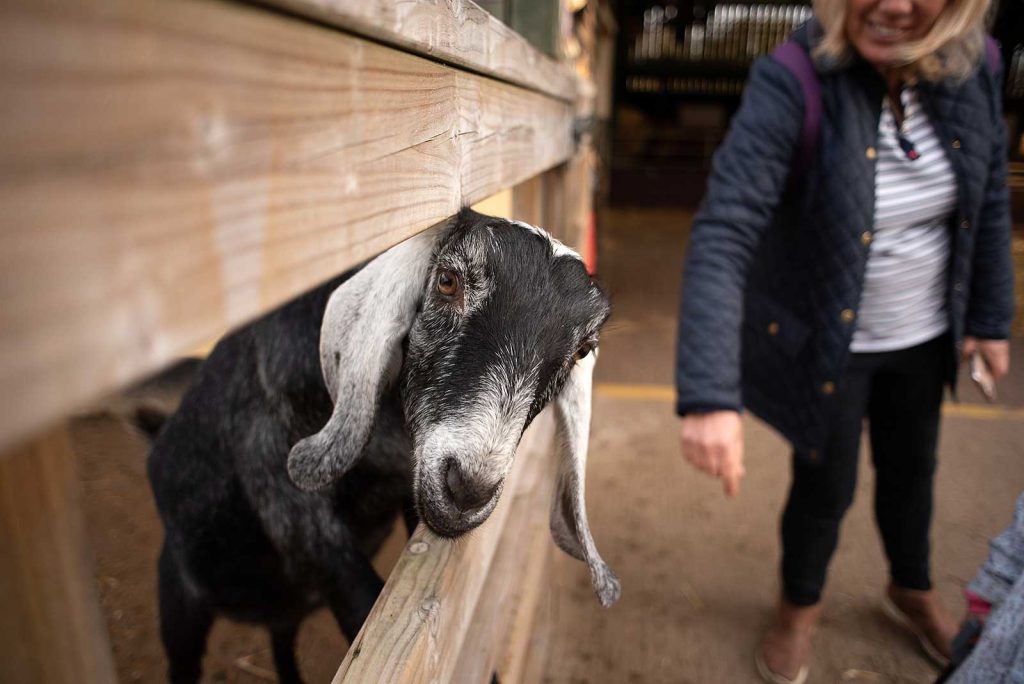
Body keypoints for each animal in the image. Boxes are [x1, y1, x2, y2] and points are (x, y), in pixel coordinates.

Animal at [146, 208, 619, 683]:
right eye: (447, 281)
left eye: (582, 350)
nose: (469, 487)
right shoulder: (286, 495)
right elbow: (357, 599)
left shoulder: (409, 489)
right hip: (179, 603)